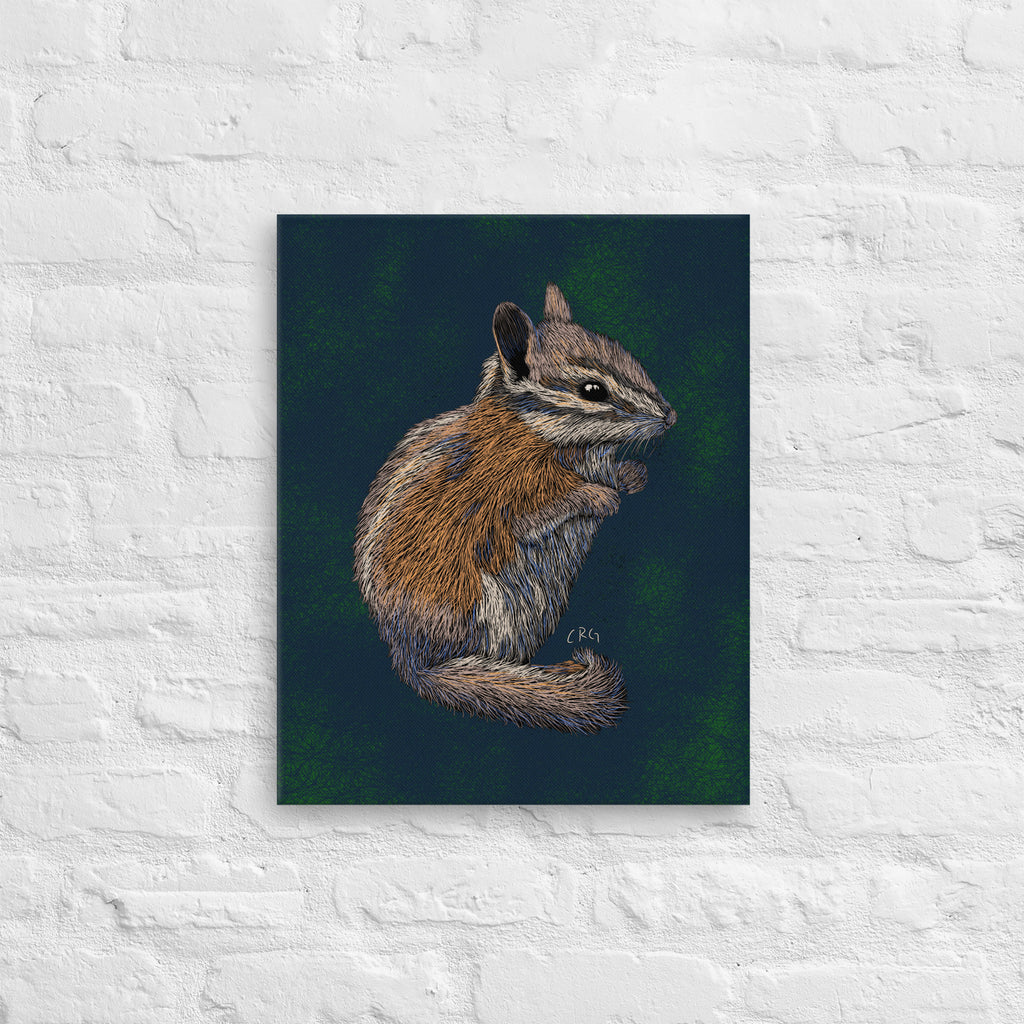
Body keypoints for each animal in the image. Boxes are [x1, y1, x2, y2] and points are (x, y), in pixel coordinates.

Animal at [353, 283, 676, 734]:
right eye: (593, 390)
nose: (671, 416)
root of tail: (413, 657)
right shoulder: (510, 497)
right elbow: (539, 514)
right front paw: (599, 496)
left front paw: (631, 476)